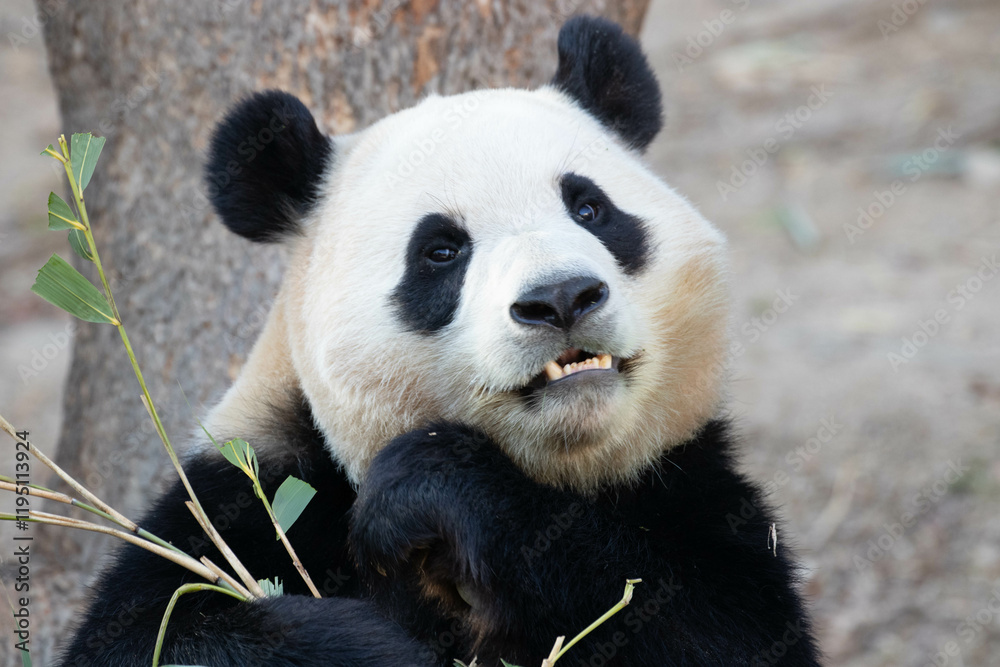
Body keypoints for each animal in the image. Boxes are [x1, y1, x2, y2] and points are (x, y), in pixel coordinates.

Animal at [61, 16, 819, 667]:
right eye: (442, 250)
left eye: (590, 208)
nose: (561, 297)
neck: (565, 466)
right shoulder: (255, 492)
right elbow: (159, 627)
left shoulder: (688, 483)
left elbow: (709, 624)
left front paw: (432, 486)